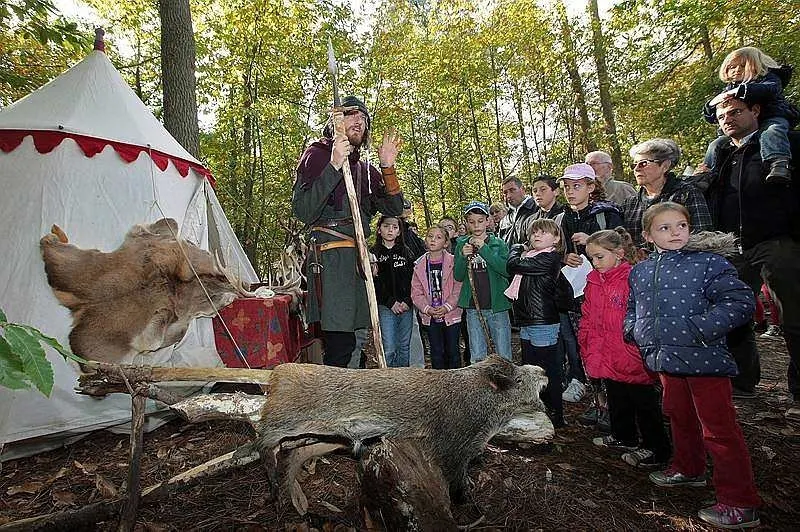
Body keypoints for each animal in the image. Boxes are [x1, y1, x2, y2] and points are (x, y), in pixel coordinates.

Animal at [253, 356, 547, 503]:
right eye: (518, 380)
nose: (543, 371)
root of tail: (276, 375)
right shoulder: (451, 447)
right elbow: (456, 480)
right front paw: (466, 499)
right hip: (287, 418)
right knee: (262, 435)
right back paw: (274, 488)